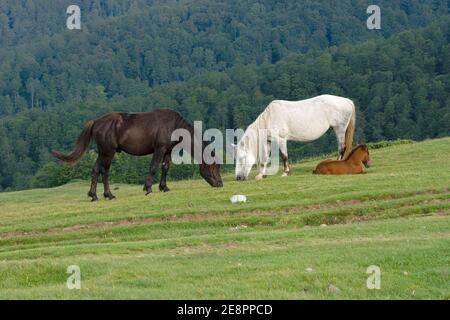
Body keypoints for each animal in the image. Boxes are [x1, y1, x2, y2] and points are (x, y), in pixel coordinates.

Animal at [52, 109, 223, 201]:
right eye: (213, 166)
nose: (220, 184)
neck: (173, 125)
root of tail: (96, 122)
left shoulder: (167, 151)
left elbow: (165, 168)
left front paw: (164, 187)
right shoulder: (159, 149)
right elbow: (153, 167)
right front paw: (148, 188)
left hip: (103, 152)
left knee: (97, 170)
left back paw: (97, 195)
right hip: (108, 152)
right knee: (103, 171)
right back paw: (105, 194)